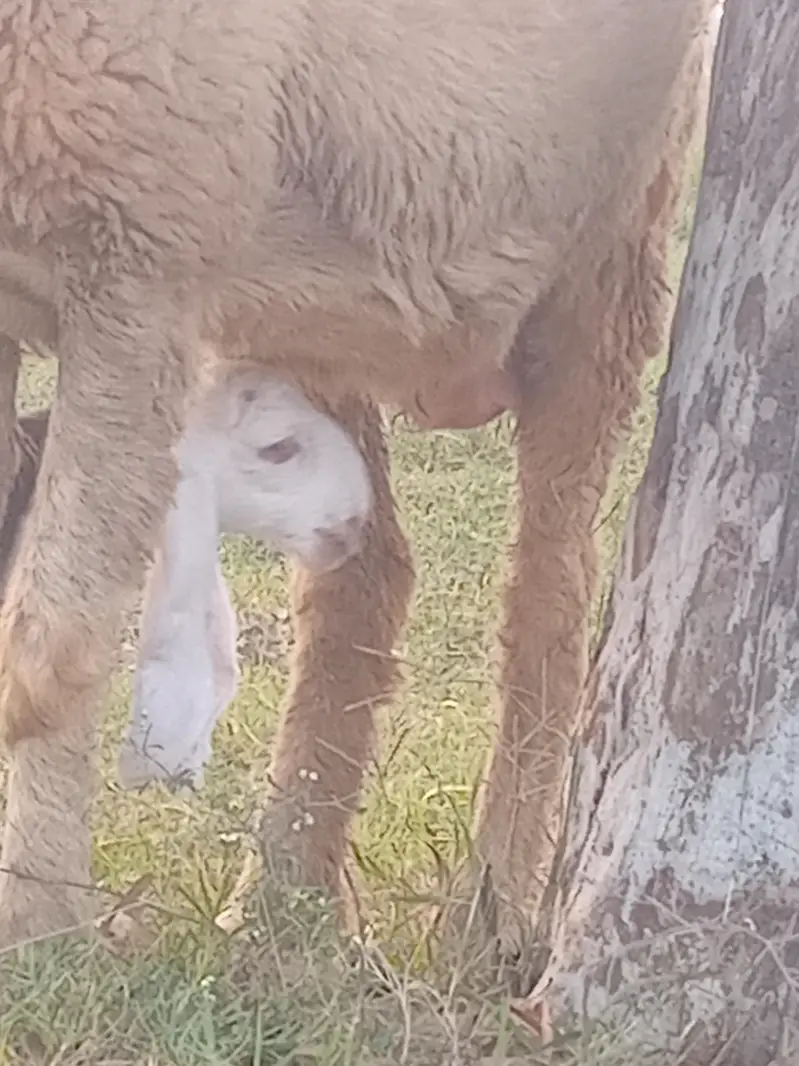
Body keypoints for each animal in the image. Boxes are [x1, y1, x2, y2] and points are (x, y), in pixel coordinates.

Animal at [0, 0, 714, 964]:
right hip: (324, 300)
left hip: (606, 249)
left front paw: (37, 926)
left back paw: (490, 912)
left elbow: (50, 646)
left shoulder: (137, 265)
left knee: (552, 597)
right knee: (365, 581)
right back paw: (286, 890)